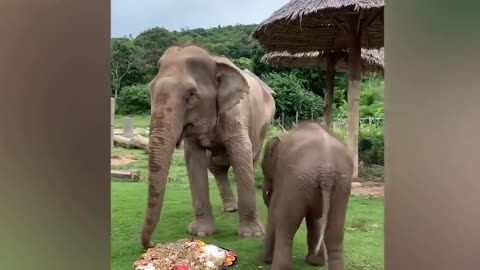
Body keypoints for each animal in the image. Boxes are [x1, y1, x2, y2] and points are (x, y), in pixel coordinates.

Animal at [141, 44, 276, 249]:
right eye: (150, 89)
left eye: (191, 95)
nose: (152, 244)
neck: (213, 61)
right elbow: (194, 159)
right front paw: (201, 233)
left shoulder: (236, 112)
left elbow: (242, 152)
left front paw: (251, 235)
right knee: (216, 166)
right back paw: (230, 208)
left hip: (263, 125)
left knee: (251, 158)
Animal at [258, 122, 352, 270]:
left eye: (264, 167)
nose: (267, 192)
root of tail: (327, 171)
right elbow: (314, 218)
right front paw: (315, 262)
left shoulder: (283, 176)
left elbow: (274, 211)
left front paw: (264, 260)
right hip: (340, 186)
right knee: (334, 232)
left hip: (299, 180)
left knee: (286, 224)